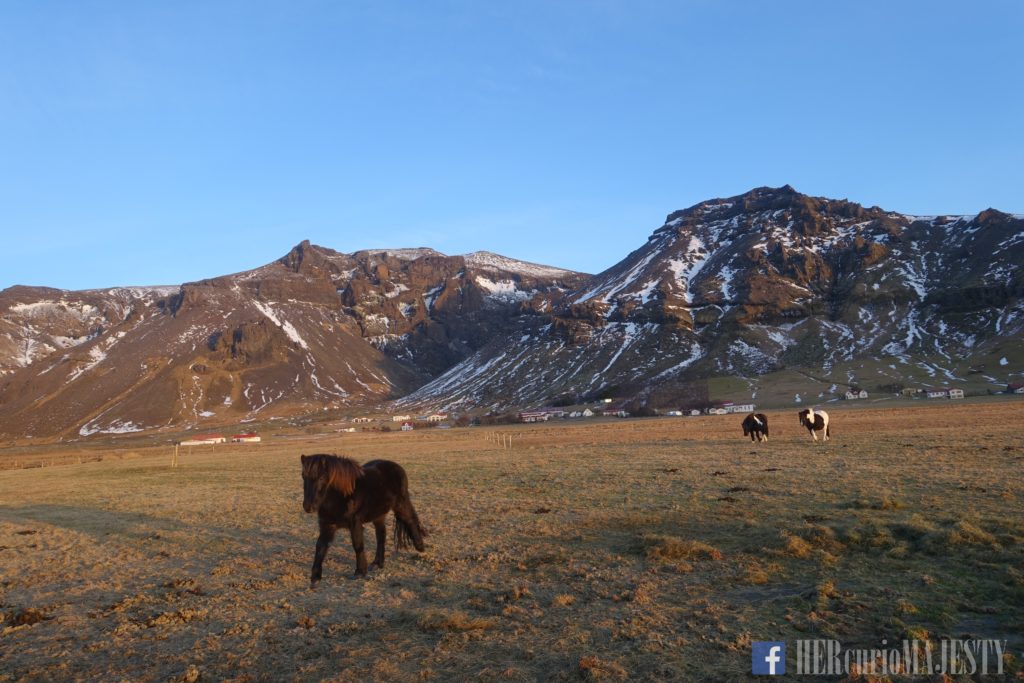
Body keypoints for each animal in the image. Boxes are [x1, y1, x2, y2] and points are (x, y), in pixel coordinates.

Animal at [299, 454, 425, 589]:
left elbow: (358, 545)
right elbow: (320, 546)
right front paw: (315, 578)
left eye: (321, 477)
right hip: (378, 515)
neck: (341, 495)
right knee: (381, 535)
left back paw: (420, 547)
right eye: (303, 476)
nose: (308, 506)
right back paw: (377, 563)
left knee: (410, 520)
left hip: (401, 504)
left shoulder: (355, 523)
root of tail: (396, 466)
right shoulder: (327, 525)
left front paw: (360, 572)